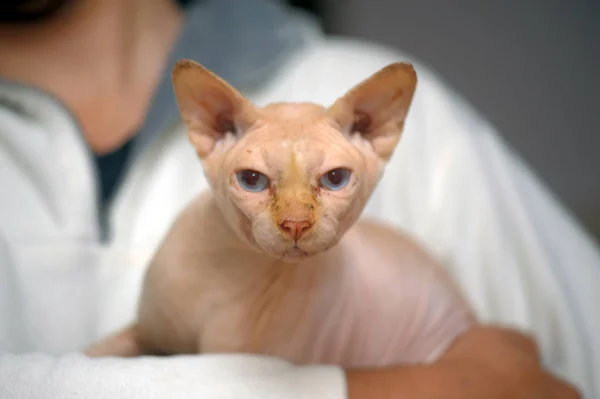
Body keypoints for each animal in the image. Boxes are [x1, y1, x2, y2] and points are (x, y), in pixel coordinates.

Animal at [85, 60, 478, 368]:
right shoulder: (147, 333)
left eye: (335, 179)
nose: (296, 224)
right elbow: (96, 352)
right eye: (252, 180)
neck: (227, 270)